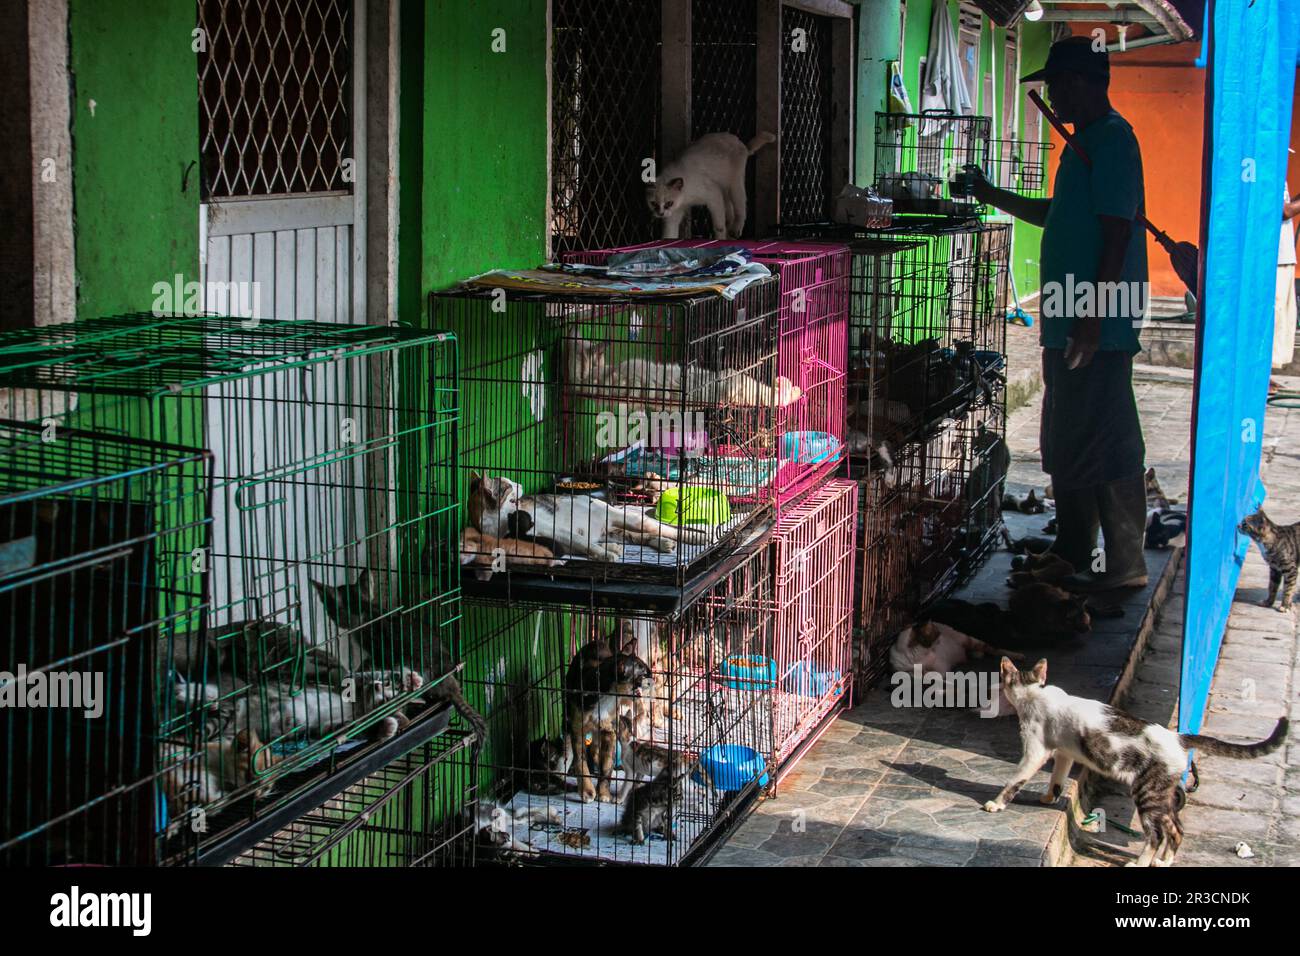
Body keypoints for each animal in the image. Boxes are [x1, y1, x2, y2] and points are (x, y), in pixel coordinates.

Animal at [470, 476, 712, 564]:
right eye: (509, 485)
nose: (521, 483)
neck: (499, 521)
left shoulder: (554, 529)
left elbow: (581, 543)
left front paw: (604, 555)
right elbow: (581, 545)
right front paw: (606, 553)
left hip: (628, 518)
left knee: (664, 528)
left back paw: (696, 537)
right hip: (615, 532)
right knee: (637, 537)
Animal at [987, 658, 1284, 868]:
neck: (1034, 692)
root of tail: (1178, 737)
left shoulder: (1035, 751)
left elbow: (1015, 780)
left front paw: (996, 803)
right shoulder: (1065, 753)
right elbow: (1057, 779)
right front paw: (1049, 797)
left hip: (1146, 794)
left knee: (1156, 835)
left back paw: (1141, 862)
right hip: (1162, 796)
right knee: (1176, 829)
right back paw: (1164, 861)